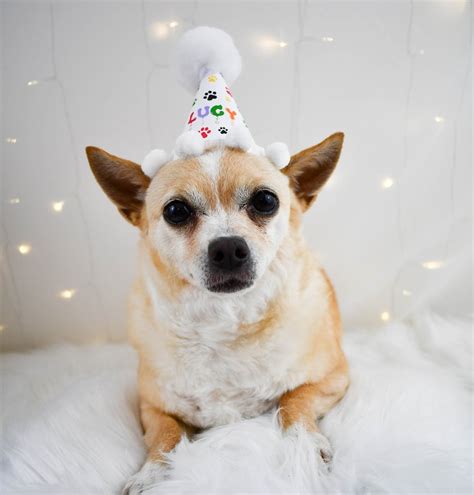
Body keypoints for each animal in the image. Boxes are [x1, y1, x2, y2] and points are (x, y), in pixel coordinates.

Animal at [87, 131, 350, 492]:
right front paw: (151, 473)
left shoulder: (333, 378)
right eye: (176, 210)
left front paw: (306, 447)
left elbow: (292, 402)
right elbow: (165, 435)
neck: (224, 323)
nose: (227, 247)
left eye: (266, 201)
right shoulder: (151, 407)